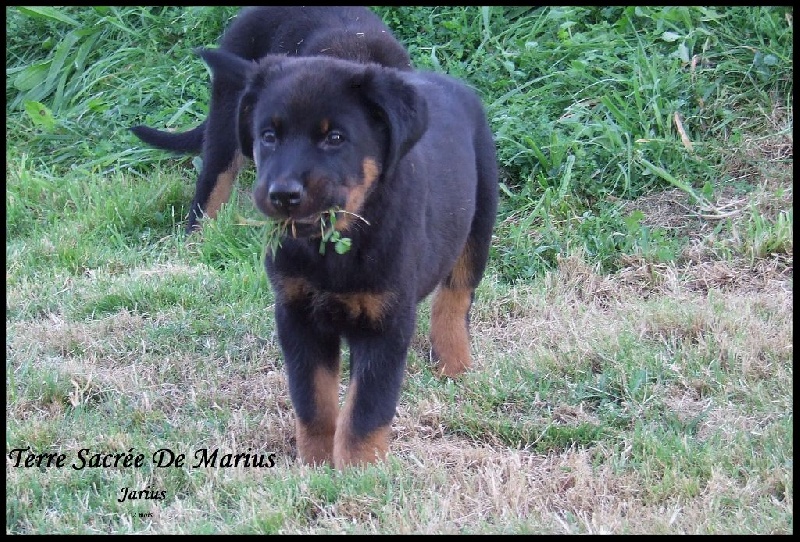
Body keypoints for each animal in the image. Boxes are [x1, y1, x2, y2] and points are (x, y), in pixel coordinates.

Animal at [198, 49, 500, 470]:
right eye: (269, 136)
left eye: (335, 138)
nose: (283, 193)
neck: (334, 247)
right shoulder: (297, 315)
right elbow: (313, 401)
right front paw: (316, 464)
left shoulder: (385, 323)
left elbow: (366, 409)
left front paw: (359, 471)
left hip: (479, 223)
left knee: (456, 298)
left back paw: (453, 362)